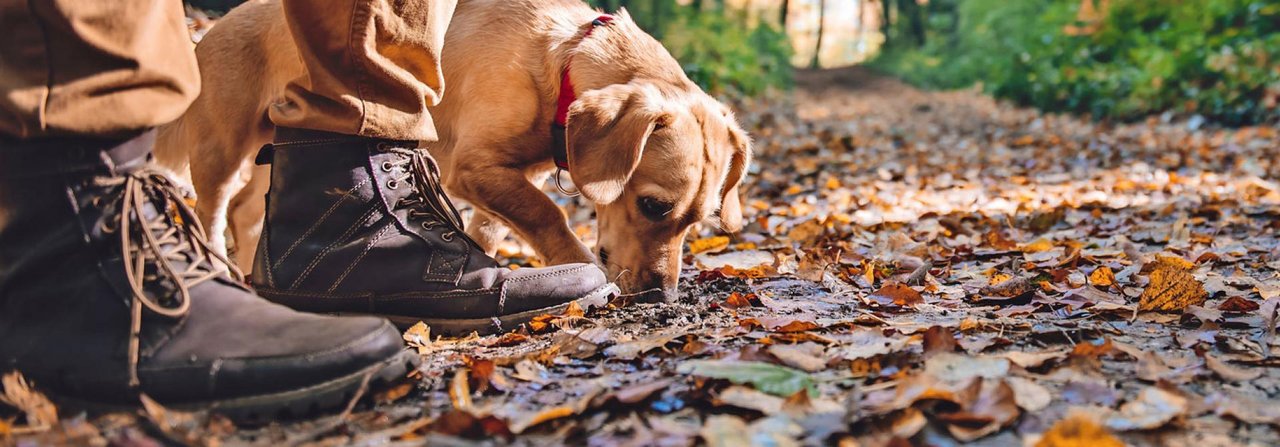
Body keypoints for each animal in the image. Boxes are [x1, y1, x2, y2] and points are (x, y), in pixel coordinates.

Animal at [152, 0, 747, 300]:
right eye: (652, 206)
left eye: (697, 222)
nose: (662, 295)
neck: (563, 61)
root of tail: (208, 31)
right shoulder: (475, 168)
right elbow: (548, 214)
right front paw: (576, 266)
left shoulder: (506, 178)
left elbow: (496, 227)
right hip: (223, 151)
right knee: (212, 212)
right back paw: (219, 265)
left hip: (271, 154)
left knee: (248, 215)